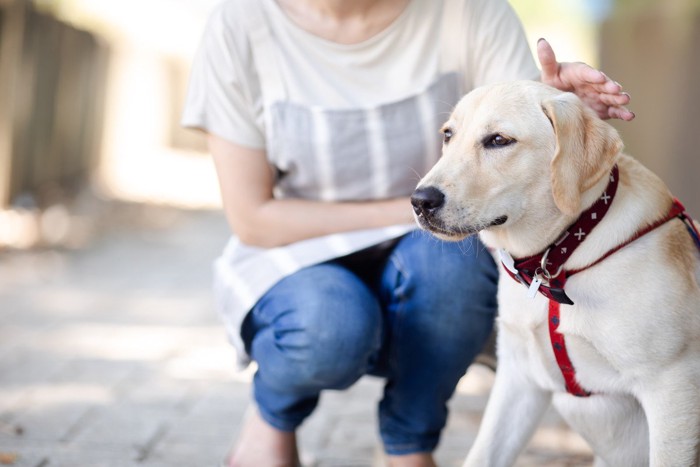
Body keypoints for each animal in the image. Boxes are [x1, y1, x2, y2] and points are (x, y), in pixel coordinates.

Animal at [410, 81, 700, 467]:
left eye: (499, 140)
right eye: (448, 135)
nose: (420, 201)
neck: (558, 261)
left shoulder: (673, 386)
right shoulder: (519, 379)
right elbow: (483, 454)